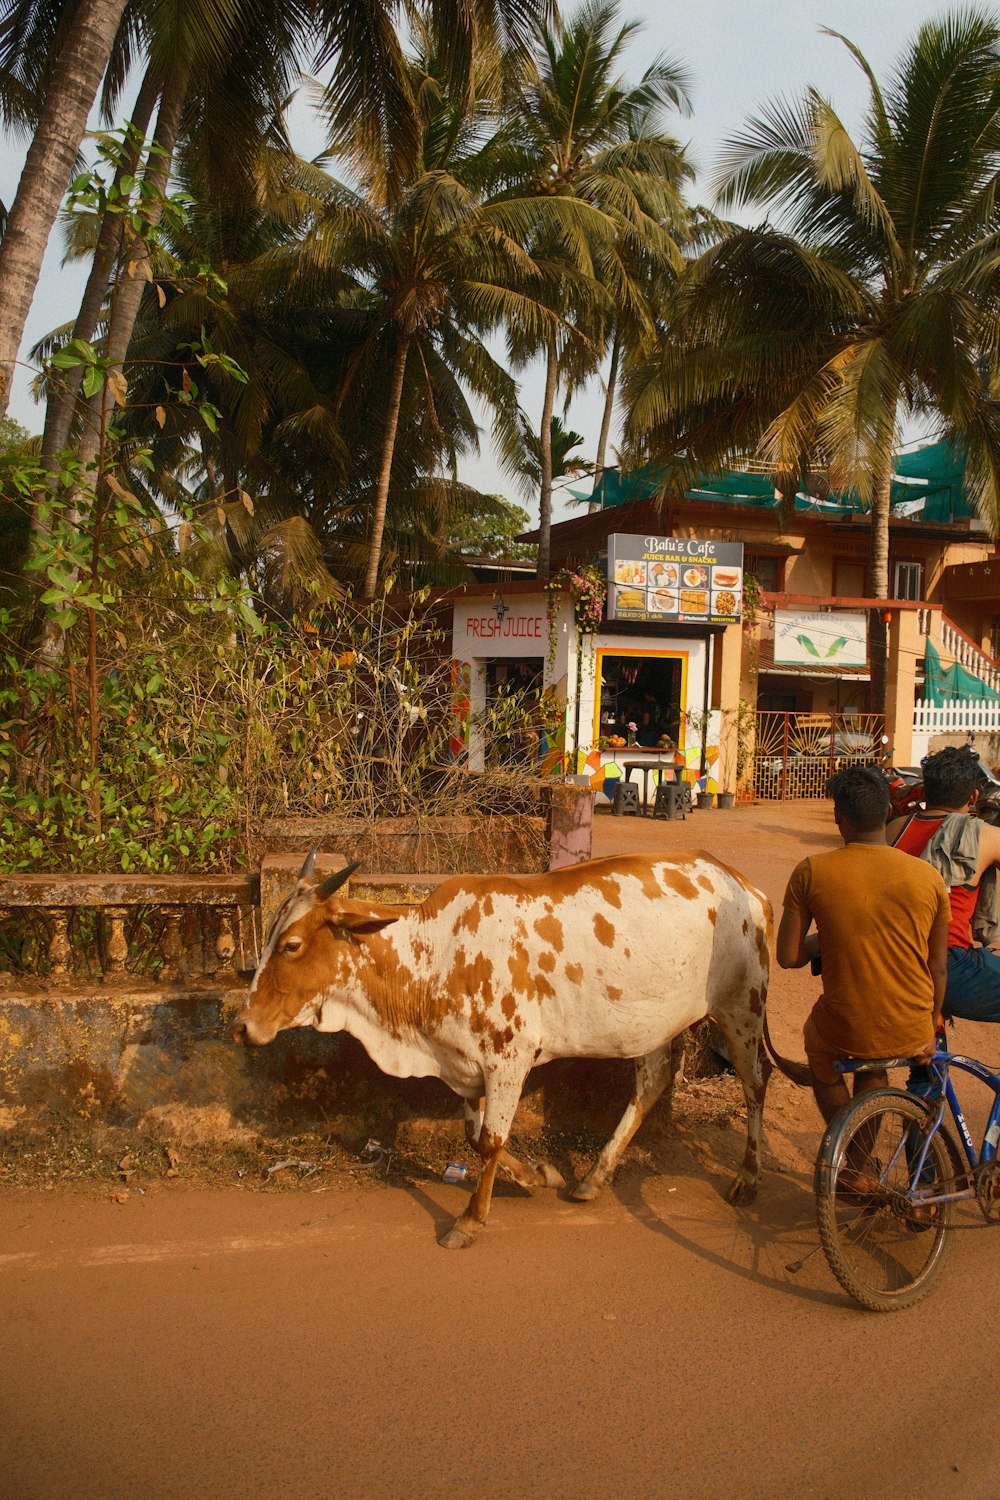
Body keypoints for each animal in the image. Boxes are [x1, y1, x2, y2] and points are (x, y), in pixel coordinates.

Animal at [235, 852, 773, 1248]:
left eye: (292, 945)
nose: (242, 1026)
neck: (433, 953)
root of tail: (744, 883)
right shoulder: (463, 1064)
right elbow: (475, 1137)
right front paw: (539, 1175)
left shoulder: (508, 1058)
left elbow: (491, 1141)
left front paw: (470, 1219)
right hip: (653, 1024)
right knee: (651, 1083)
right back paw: (593, 1177)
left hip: (742, 1008)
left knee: (756, 1083)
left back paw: (748, 1178)